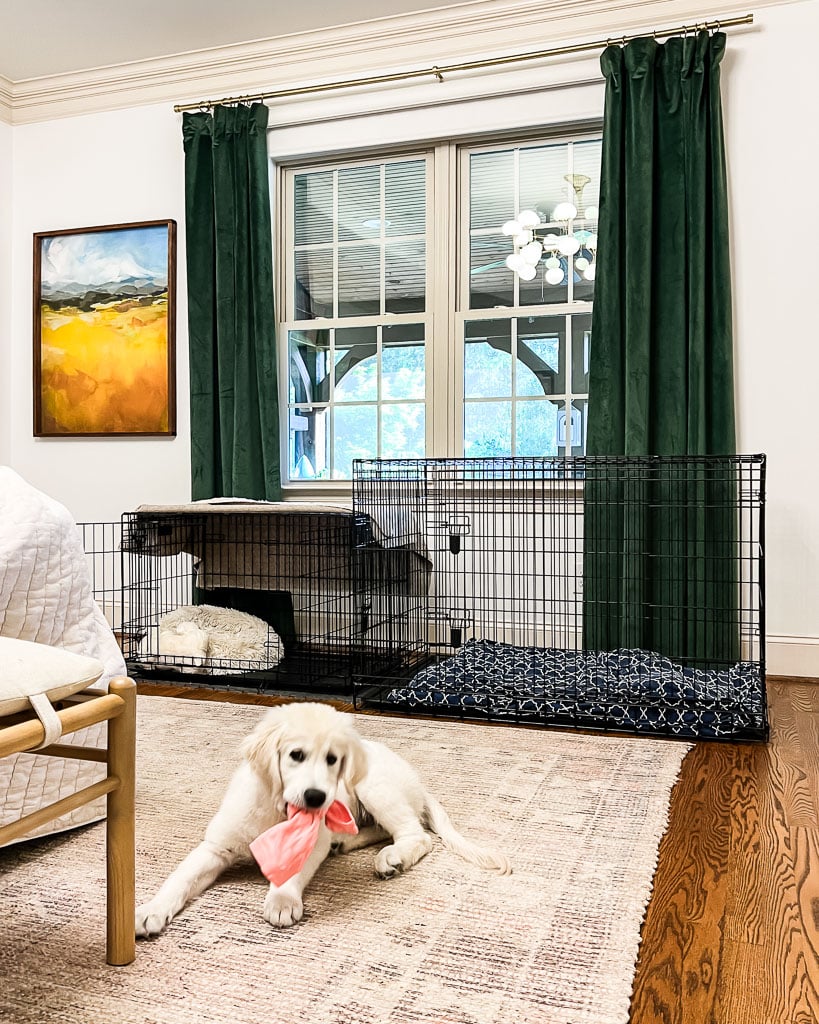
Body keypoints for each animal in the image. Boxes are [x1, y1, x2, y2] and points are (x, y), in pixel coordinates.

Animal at [137, 700, 515, 933]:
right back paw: (346, 844)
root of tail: (418, 782)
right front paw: (150, 910)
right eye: (296, 754)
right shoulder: (216, 846)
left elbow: (293, 871)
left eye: (333, 759)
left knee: (416, 834)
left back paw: (392, 858)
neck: (280, 809)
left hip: (373, 786)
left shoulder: (312, 840)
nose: (317, 797)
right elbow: (180, 878)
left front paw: (281, 900)